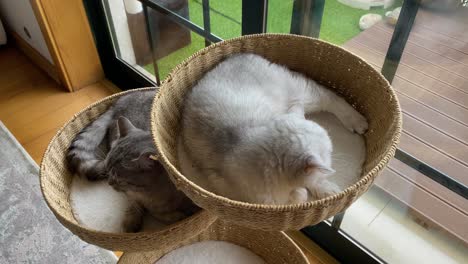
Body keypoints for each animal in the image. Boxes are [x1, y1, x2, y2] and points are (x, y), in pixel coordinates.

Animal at [67, 89, 197, 232]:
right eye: (109, 172)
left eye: (119, 179)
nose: (109, 183)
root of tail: (122, 98)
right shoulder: (134, 197)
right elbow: (140, 205)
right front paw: (134, 218)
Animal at [177, 53, 368, 205]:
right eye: (329, 153)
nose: (332, 157)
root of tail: (238, 54)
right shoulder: (229, 189)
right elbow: (303, 191)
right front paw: (306, 192)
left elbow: (312, 184)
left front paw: (326, 190)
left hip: (300, 94)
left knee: (328, 95)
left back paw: (358, 122)